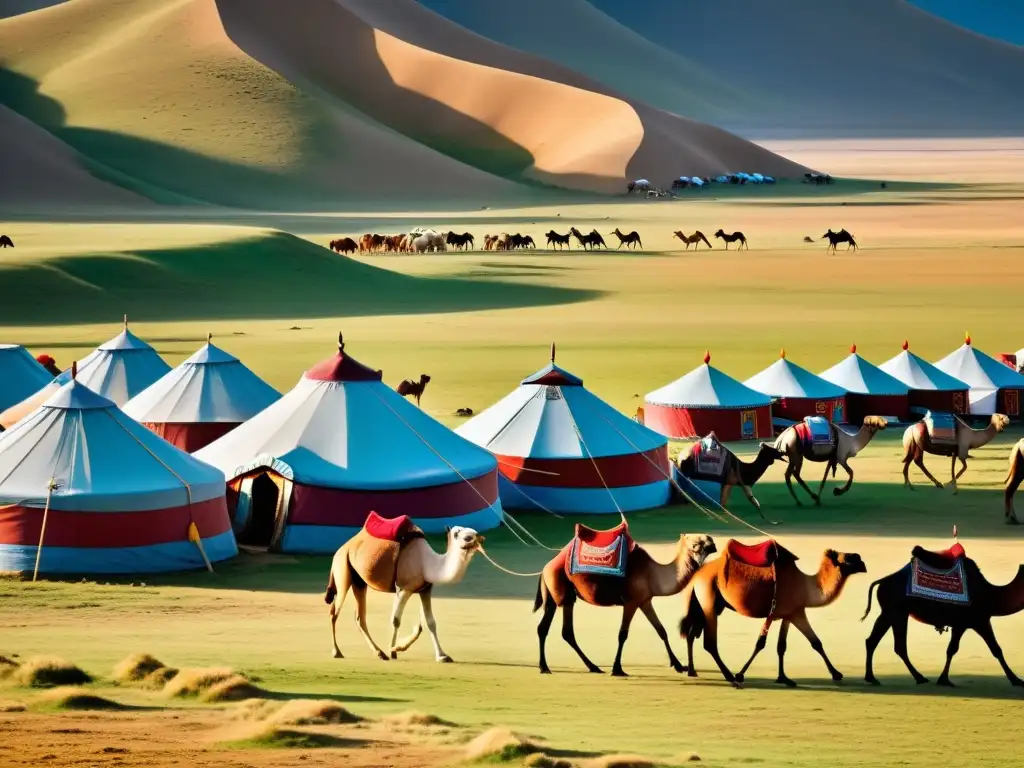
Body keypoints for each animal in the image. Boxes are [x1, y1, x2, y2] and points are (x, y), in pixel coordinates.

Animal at [327, 524, 487, 663]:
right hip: (343, 569)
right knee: (334, 612)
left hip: (359, 581)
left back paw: (379, 653)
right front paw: (393, 651)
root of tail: (343, 547)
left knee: (360, 617)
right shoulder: (403, 588)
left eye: (474, 532)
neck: (427, 563)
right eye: (466, 537)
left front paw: (442, 656)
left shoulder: (425, 589)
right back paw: (337, 652)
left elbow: (430, 622)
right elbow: (395, 620)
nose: (481, 538)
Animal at [532, 532, 716, 675]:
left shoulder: (645, 600)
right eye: (695, 542)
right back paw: (550, 667)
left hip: (557, 596)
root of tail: (545, 567)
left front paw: (678, 665)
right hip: (562, 591)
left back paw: (583, 667)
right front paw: (617, 669)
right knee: (560, 630)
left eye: (707, 540)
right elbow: (623, 635)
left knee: (552, 629)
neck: (653, 574)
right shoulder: (631, 602)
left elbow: (661, 631)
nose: (712, 543)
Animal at [679, 544, 864, 688]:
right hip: (708, 598)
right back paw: (730, 677)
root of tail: (697, 576)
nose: (861, 560)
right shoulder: (786, 612)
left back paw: (692, 670)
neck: (805, 586)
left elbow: (786, 645)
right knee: (709, 643)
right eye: (848, 558)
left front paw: (784, 678)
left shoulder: (790, 614)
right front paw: (740, 674)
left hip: (709, 604)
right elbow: (762, 643)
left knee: (691, 633)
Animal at [864, 536, 1024, 692]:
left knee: (877, 642)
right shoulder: (978, 620)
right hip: (895, 612)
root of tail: (882, 581)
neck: (991, 594)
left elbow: (952, 649)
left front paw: (943, 679)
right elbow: (994, 649)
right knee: (895, 645)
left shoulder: (964, 624)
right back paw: (914, 677)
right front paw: (1016, 680)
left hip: (892, 613)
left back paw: (876, 678)